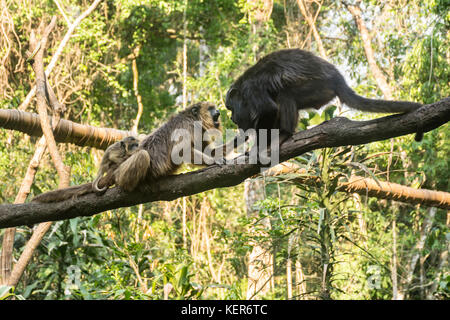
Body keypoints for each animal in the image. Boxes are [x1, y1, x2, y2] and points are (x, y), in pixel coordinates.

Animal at [227, 48, 424, 142]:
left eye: (231, 108)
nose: (231, 117)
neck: (242, 87)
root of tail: (338, 78)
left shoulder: (251, 89)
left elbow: (268, 109)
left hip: (319, 87)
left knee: (285, 95)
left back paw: (285, 133)